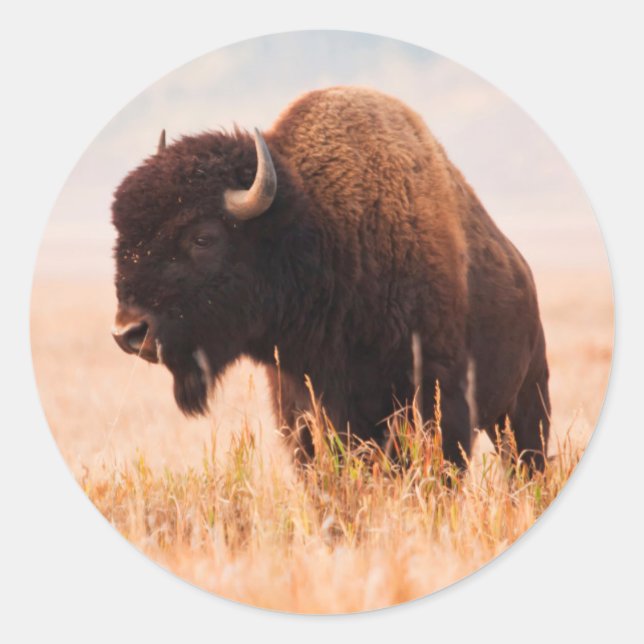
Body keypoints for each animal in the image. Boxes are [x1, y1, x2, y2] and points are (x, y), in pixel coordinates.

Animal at [111, 87, 550, 470]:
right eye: (122, 235)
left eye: (203, 238)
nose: (129, 332)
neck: (322, 232)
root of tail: (523, 273)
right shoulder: (302, 410)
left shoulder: (439, 402)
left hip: (525, 405)